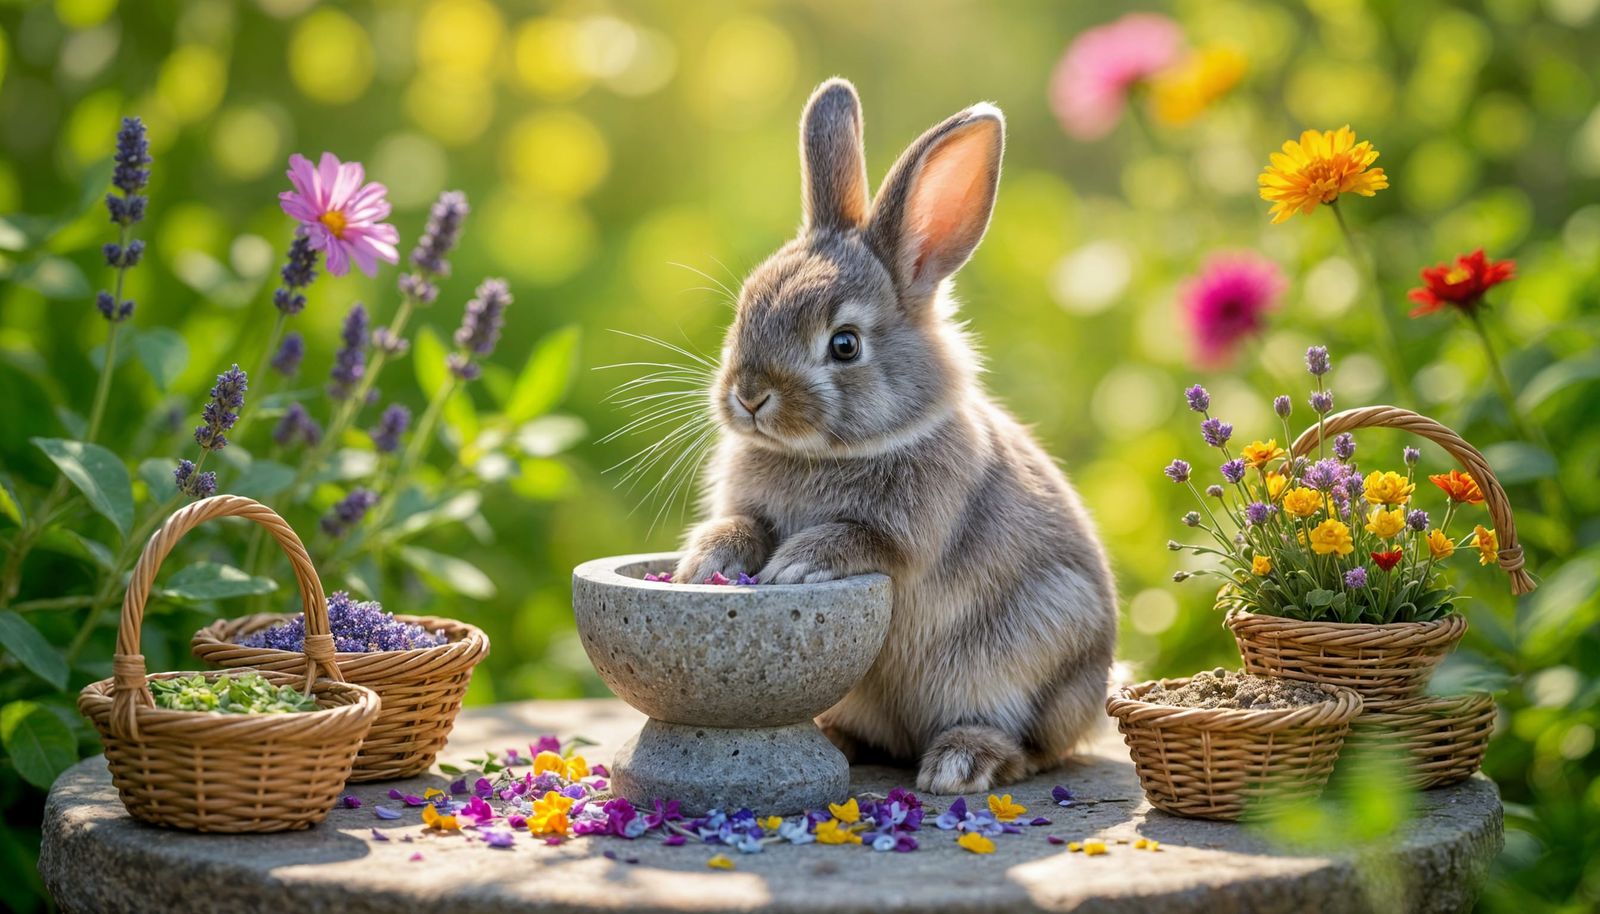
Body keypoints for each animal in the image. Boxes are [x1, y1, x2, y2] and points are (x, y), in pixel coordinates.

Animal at [674, 77, 1117, 794]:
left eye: (845, 345)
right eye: (744, 311)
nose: (749, 396)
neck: (829, 453)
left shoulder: (906, 531)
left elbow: (862, 541)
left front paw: (795, 566)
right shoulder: (749, 507)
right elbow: (738, 526)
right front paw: (703, 564)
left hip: (1034, 651)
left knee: (1030, 746)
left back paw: (960, 764)